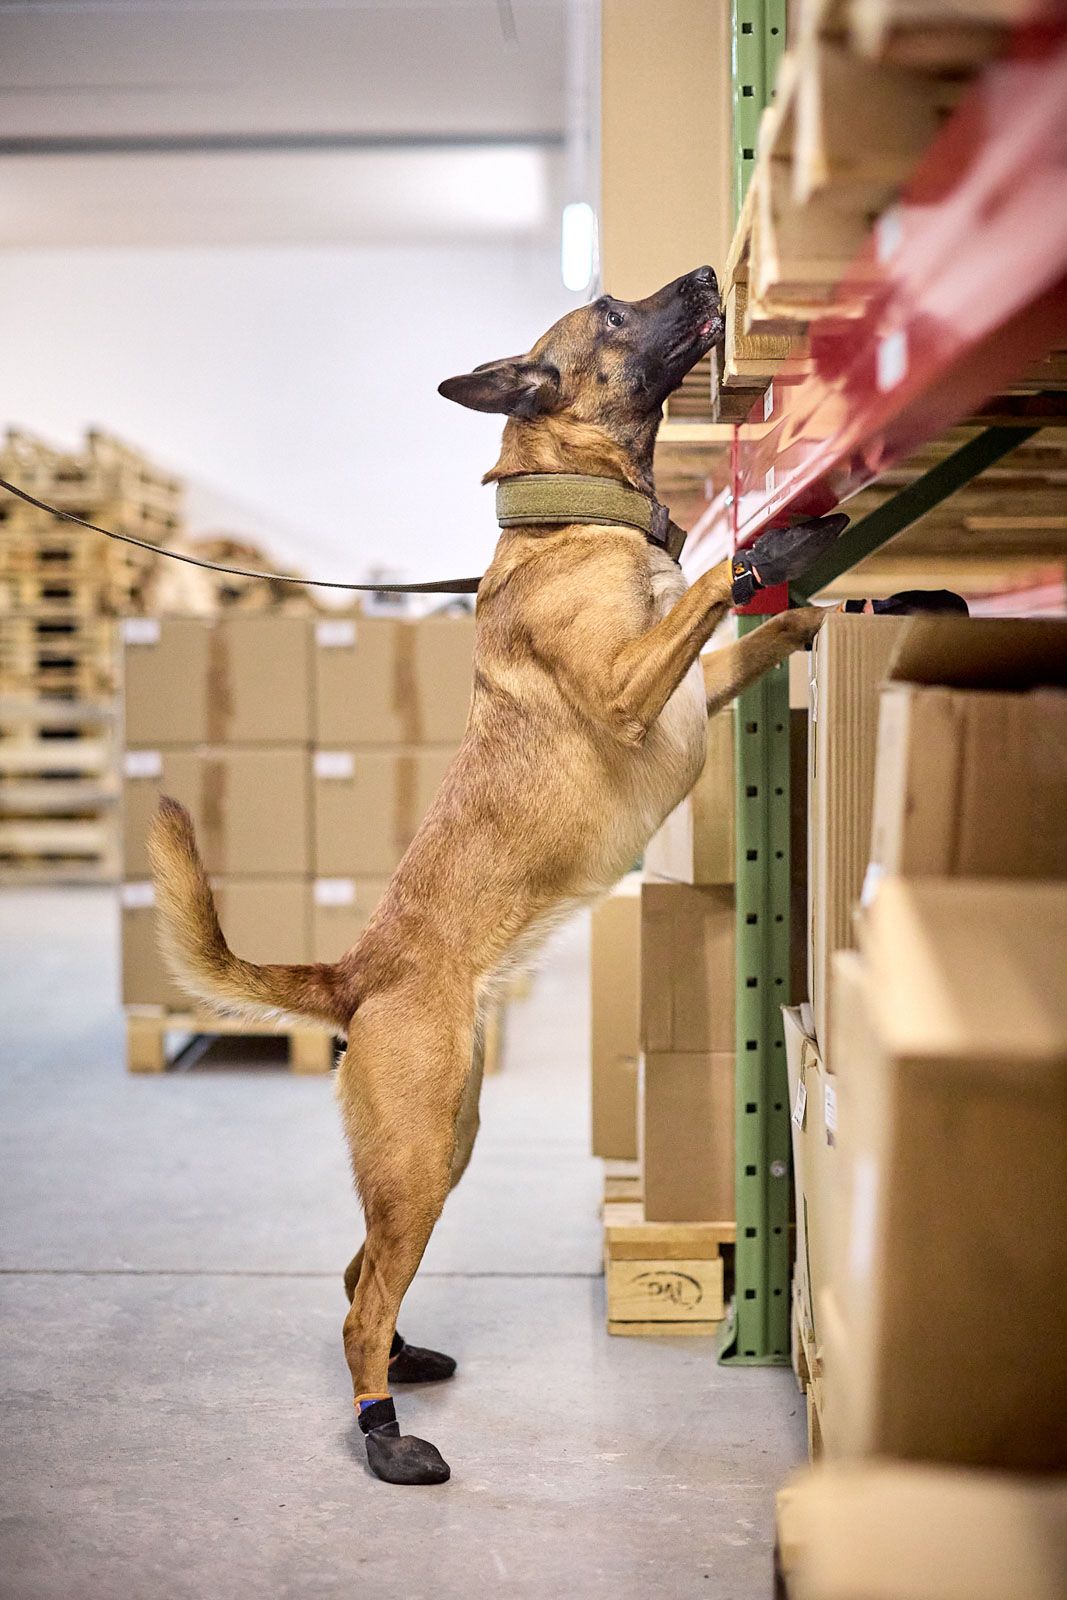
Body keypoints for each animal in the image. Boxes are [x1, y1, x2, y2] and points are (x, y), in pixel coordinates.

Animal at [150, 265, 844, 1484]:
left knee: (361, 1277)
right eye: (611, 311)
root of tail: (354, 972)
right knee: (357, 1302)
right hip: (422, 1150)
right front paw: (773, 549)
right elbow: (709, 585)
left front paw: (819, 596)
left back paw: (403, 1362)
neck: (574, 513)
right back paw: (383, 1431)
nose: (707, 276)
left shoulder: (690, 688)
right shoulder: (631, 686)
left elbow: (756, 629)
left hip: (441, 1145)